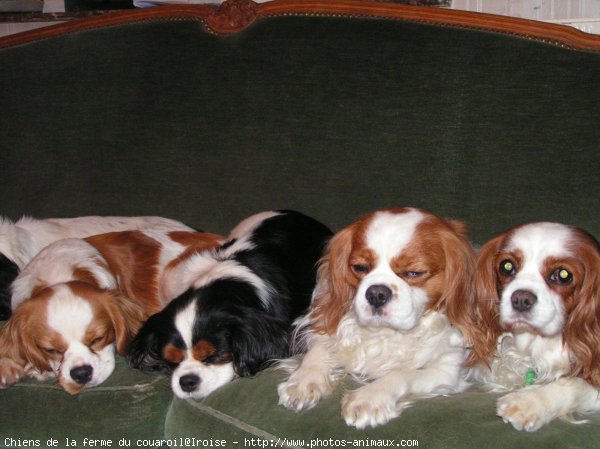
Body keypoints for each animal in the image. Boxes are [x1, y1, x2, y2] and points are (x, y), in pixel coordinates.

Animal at [278, 208, 476, 428]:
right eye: (360, 267)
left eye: (413, 272)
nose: (376, 293)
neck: (385, 333)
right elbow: (319, 349)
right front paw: (304, 380)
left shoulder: (446, 371)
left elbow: (402, 373)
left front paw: (368, 398)